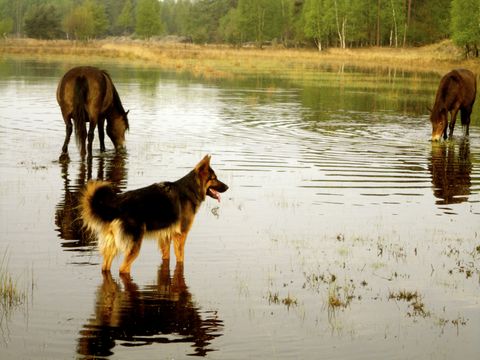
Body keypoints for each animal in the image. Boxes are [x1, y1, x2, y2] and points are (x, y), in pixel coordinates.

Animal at [79, 155, 228, 272]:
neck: (190, 189)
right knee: (123, 269)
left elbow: (166, 256)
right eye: (214, 178)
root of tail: (116, 205)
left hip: (113, 247)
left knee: (105, 267)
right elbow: (181, 259)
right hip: (134, 246)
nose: (227, 187)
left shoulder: (166, 236)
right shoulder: (181, 235)